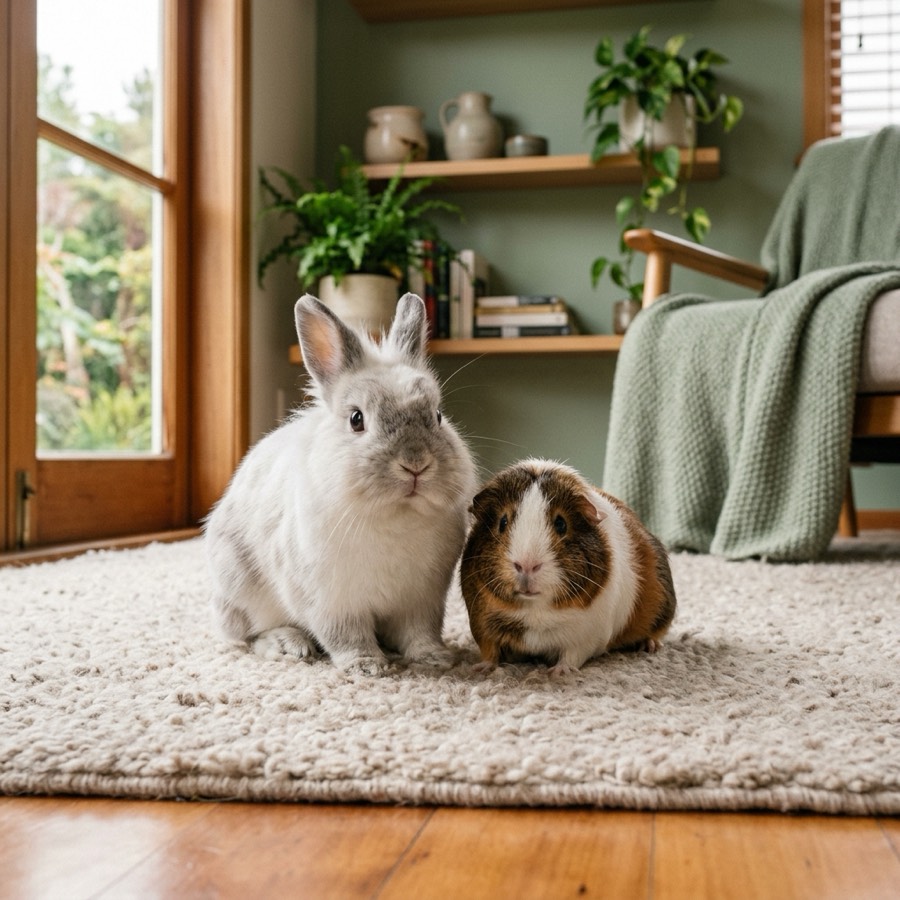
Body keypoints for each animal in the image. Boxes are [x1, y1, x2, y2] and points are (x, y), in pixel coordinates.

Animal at [205, 292, 477, 674]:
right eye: (356, 419)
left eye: (438, 416)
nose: (416, 464)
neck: (394, 516)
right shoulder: (332, 603)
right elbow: (345, 636)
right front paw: (367, 666)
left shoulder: (421, 602)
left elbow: (419, 633)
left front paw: (434, 658)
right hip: (240, 588)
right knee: (245, 635)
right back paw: (289, 644)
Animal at [460, 458, 676, 676]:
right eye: (502, 522)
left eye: (561, 524)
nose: (527, 564)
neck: (534, 611)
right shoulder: (482, 626)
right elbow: (490, 652)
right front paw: (479, 670)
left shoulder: (585, 637)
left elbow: (570, 656)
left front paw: (558, 673)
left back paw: (650, 646)